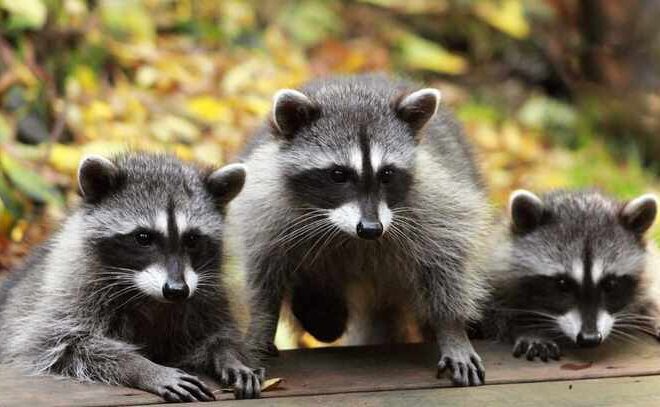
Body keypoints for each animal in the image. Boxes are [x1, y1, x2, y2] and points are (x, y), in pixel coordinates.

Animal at [0, 153, 264, 401]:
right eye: (143, 238)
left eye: (192, 239)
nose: (177, 290)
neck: (152, 297)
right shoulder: (72, 288)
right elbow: (62, 343)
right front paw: (144, 368)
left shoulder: (208, 293)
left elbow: (219, 333)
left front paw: (229, 355)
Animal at [229, 74, 493, 386]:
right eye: (338, 174)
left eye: (387, 174)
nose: (371, 229)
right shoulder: (264, 207)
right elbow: (264, 277)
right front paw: (261, 327)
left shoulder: (436, 202)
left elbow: (446, 261)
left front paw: (451, 329)